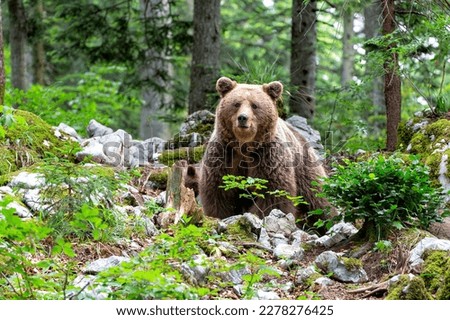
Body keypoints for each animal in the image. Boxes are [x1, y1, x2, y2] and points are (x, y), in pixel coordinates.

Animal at [199, 77, 328, 226]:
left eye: (255, 105)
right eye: (236, 104)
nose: (242, 118)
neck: (244, 145)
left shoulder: (268, 156)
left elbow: (272, 192)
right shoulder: (224, 154)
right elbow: (219, 191)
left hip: (305, 168)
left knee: (318, 201)